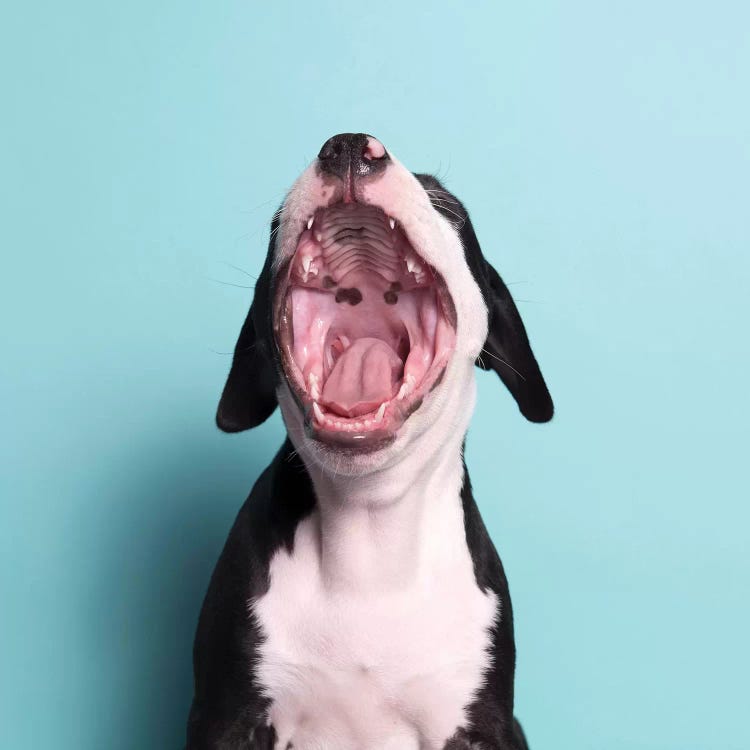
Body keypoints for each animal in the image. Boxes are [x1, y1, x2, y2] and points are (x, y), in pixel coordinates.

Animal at [186, 135, 556, 750]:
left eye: (448, 208)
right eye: (274, 223)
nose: (349, 148)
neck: (369, 527)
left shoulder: (485, 726)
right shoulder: (226, 716)